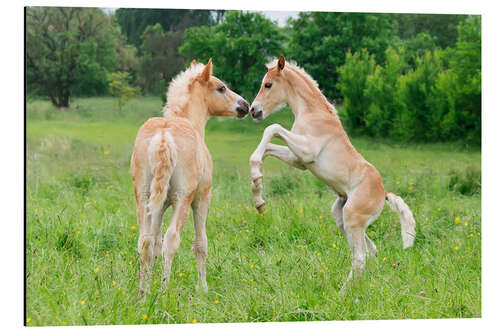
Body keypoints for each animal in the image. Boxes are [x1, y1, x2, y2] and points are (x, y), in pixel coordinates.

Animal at [130, 59, 249, 294]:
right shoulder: (202, 199)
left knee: (145, 242)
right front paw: (203, 288)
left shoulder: (159, 206)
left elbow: (154, 244)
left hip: (144, 197)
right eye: (221, 88)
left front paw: (149, 282)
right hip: (182, 199)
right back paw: (164, 291)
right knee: (171, 239)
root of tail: (164, 136)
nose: (245, 105)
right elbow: (200, 243)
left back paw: (143, 293)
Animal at [248, 53, 416, 288]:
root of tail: (383, 194)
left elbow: (272, 129)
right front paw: (258, 193)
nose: (254, 110)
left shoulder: (306, 151)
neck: (313, 113)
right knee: (370, 250)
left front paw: (257, 178)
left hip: (352, 218)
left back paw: (343, 292)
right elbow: (268, 148)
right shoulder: (299, 159)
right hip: (342, 216)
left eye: (268, 84)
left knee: (360, 258)